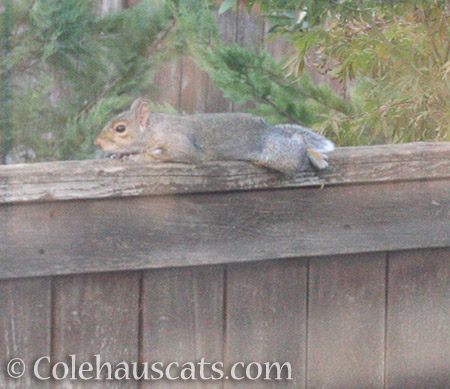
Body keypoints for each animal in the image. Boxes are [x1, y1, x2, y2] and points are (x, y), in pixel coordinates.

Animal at [95, 98, 334, 175]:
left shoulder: (180, 144)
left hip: (278, 154)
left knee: (299, 142)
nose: (97, 142)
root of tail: (272, 129)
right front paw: (119, 155)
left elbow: (164, 154)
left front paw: (135, 156)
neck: (156, 129)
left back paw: (315, 156)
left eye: (120, 128)